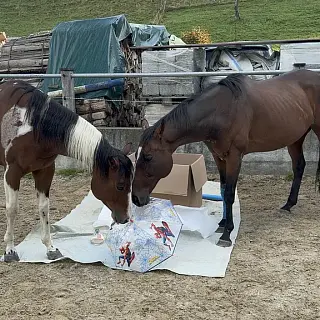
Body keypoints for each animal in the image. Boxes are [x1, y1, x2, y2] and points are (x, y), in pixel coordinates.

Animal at [0, 79, 132, 262]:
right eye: (120, 185)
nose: (125, 218)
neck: (33, 125)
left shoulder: (45, 170)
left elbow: (44, 208)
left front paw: (50, 248)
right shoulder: (12, 172)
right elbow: (12, 209)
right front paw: (10, 251)